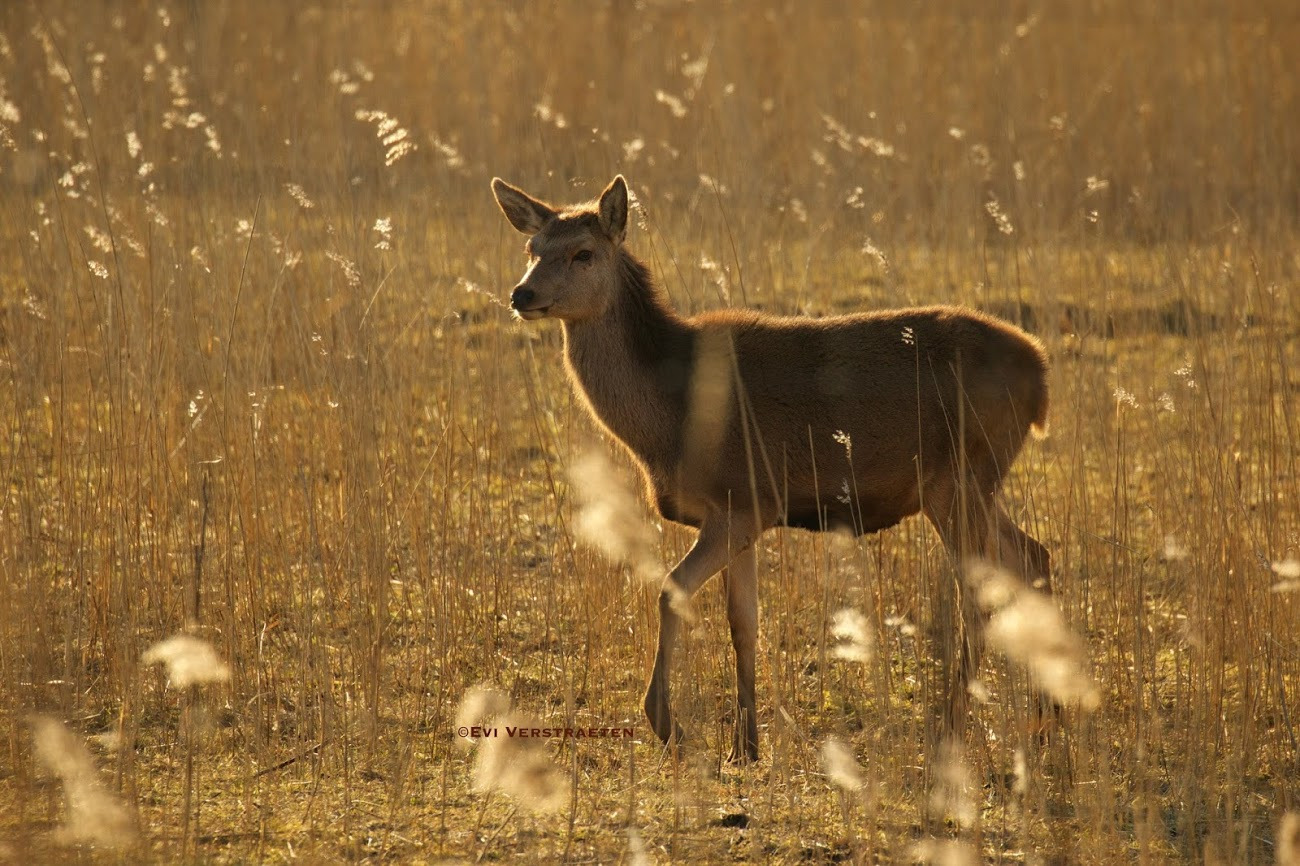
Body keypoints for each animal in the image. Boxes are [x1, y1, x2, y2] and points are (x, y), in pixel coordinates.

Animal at [491, 171, 1050, 759]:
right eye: (532, 249)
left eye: (584, 252)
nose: (522, 294)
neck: (668, 417)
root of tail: (1040, 375)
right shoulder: (747, 514)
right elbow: (744, 621)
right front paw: (746, 743)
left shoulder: (741, 500)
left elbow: (671, 590)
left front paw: (667, 724)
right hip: (975, 482)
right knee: (1034, 557)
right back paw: (1045, 719)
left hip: (958, 477)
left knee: (981, 595)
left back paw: (951, 725)